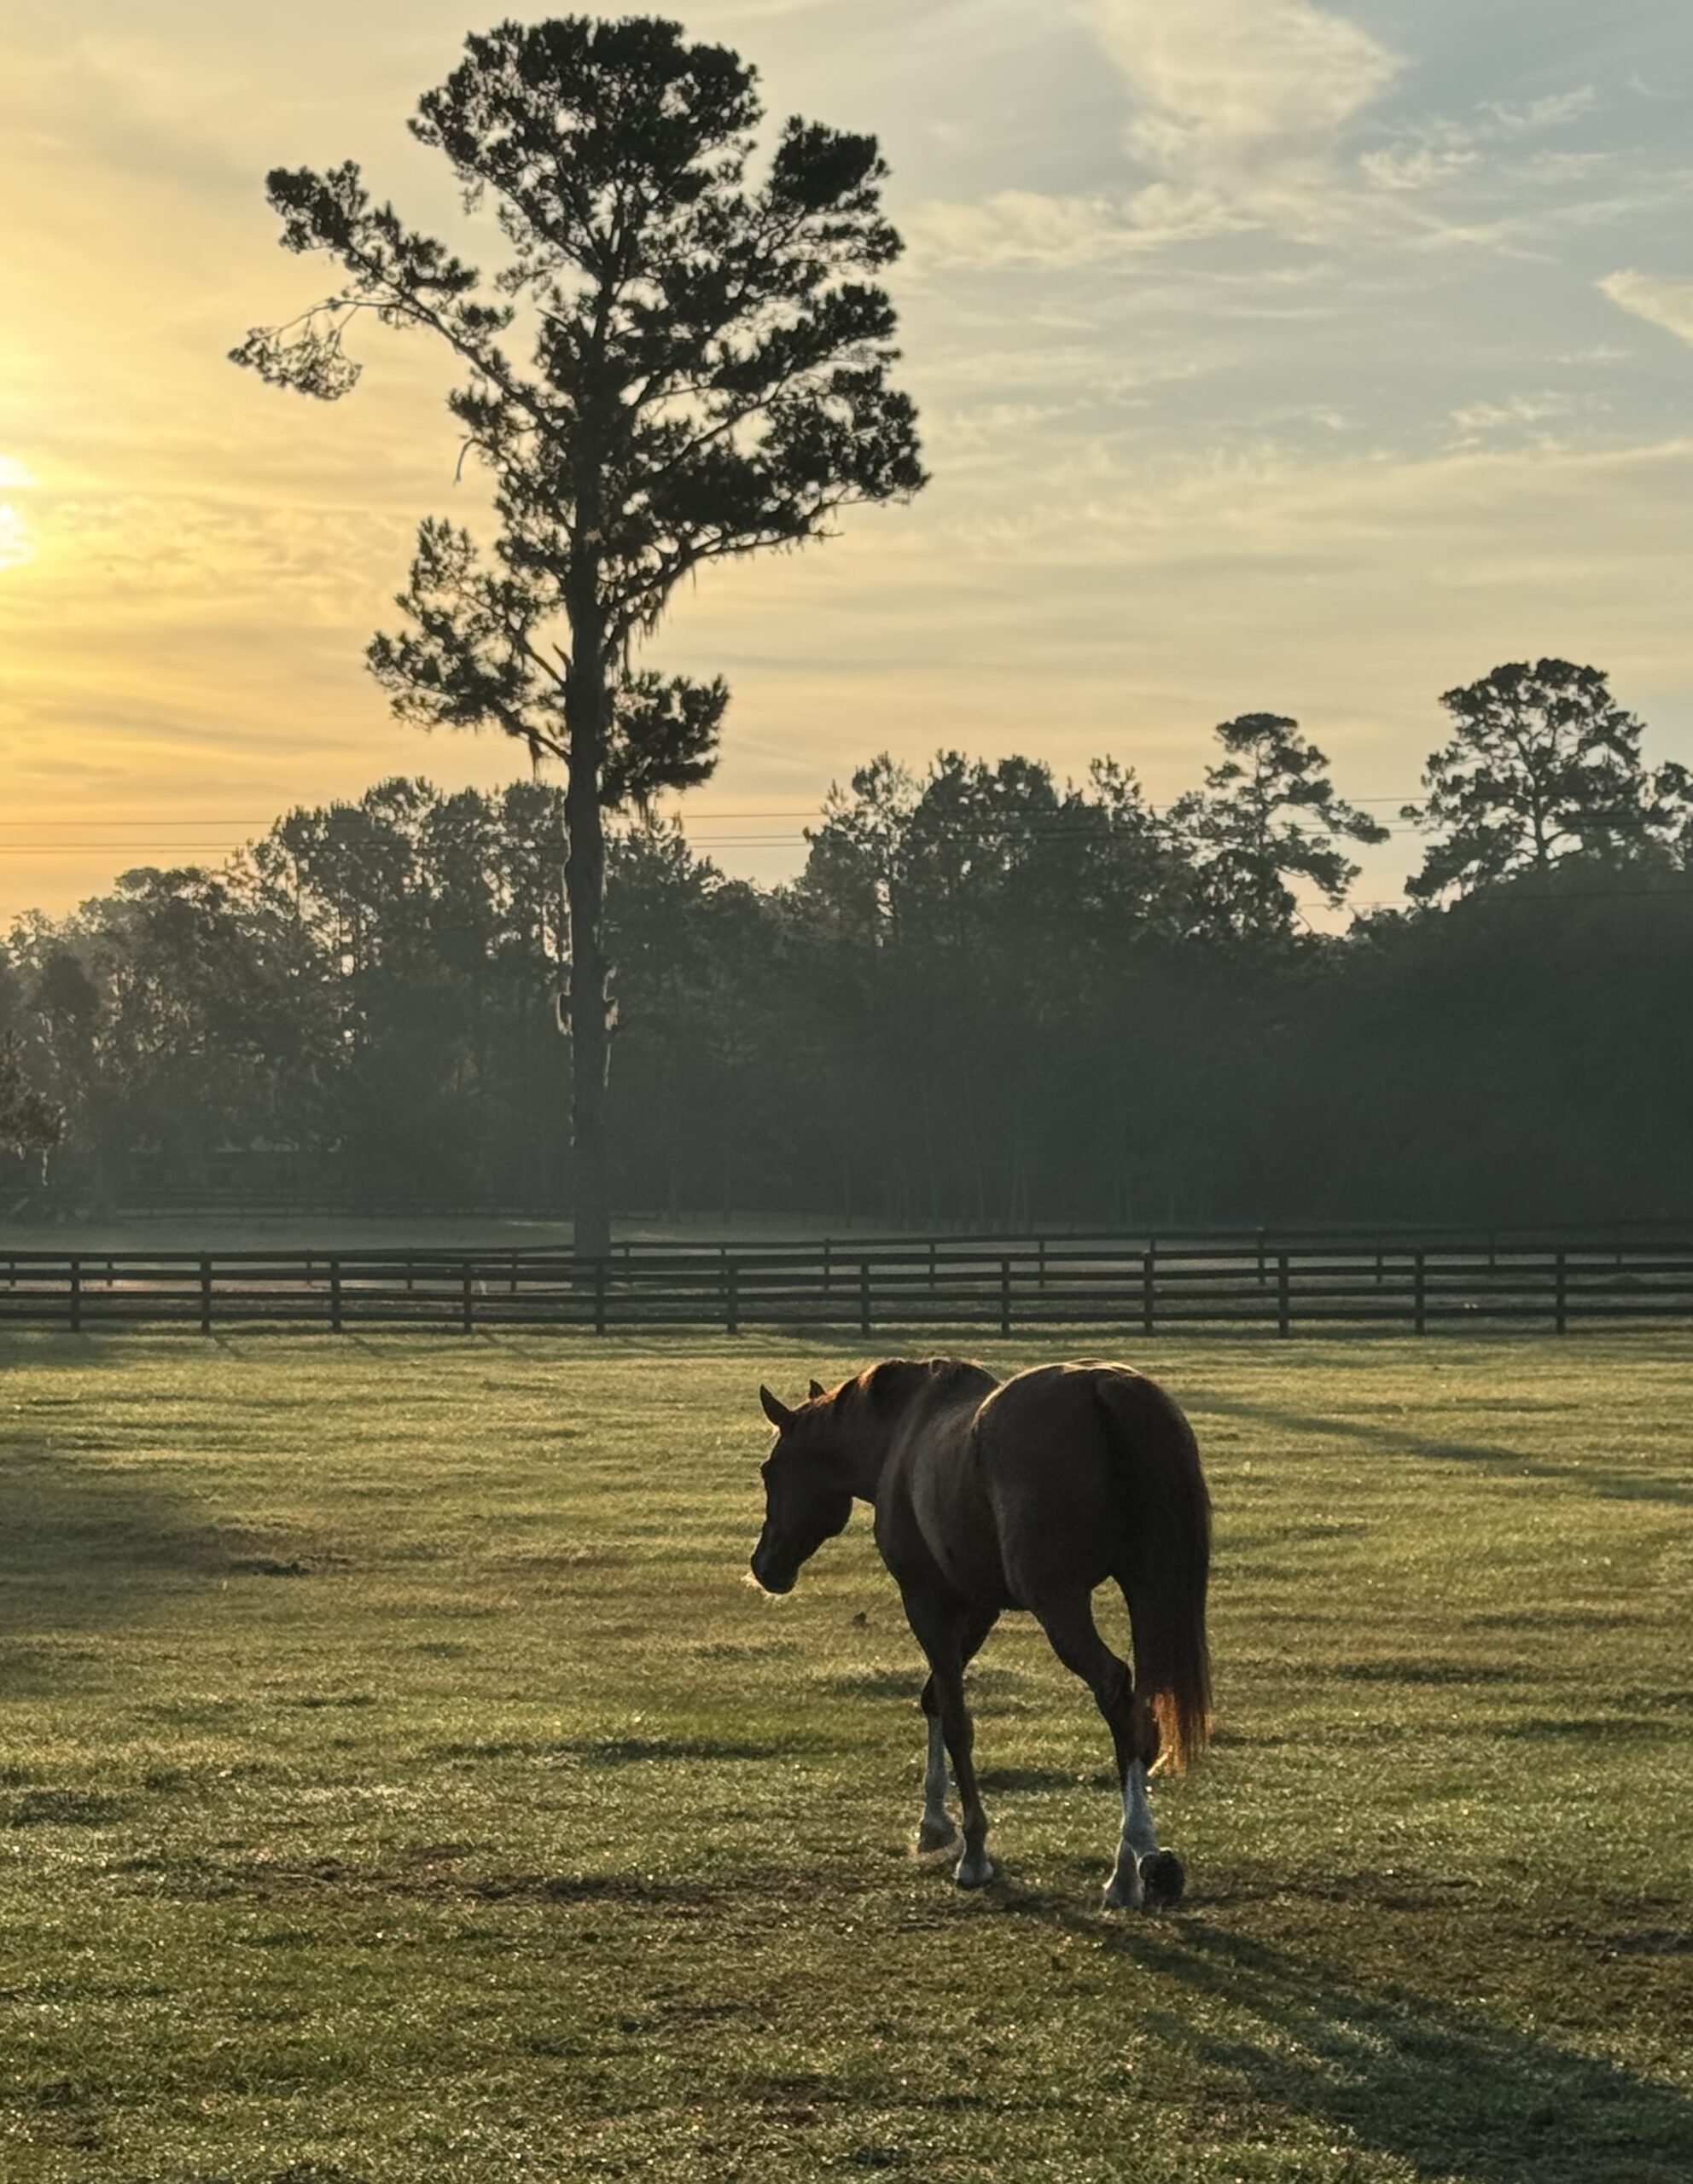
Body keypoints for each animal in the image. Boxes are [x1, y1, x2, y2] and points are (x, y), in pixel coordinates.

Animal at [747, 1354, 1214, 1904]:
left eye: (770, 1471)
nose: (764, 1566)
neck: (902, 1432)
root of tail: (1104, 1387)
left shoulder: (927, 1601)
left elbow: (955, 1719)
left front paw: (973, 1852)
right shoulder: (980, 1606)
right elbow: (933, 1698)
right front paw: (934, 1824)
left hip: (1060, 1605)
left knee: (1115, 1689)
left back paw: (1135, 1859)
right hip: (1144, 1589)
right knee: (1142, 1709)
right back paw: (1135, 1864)